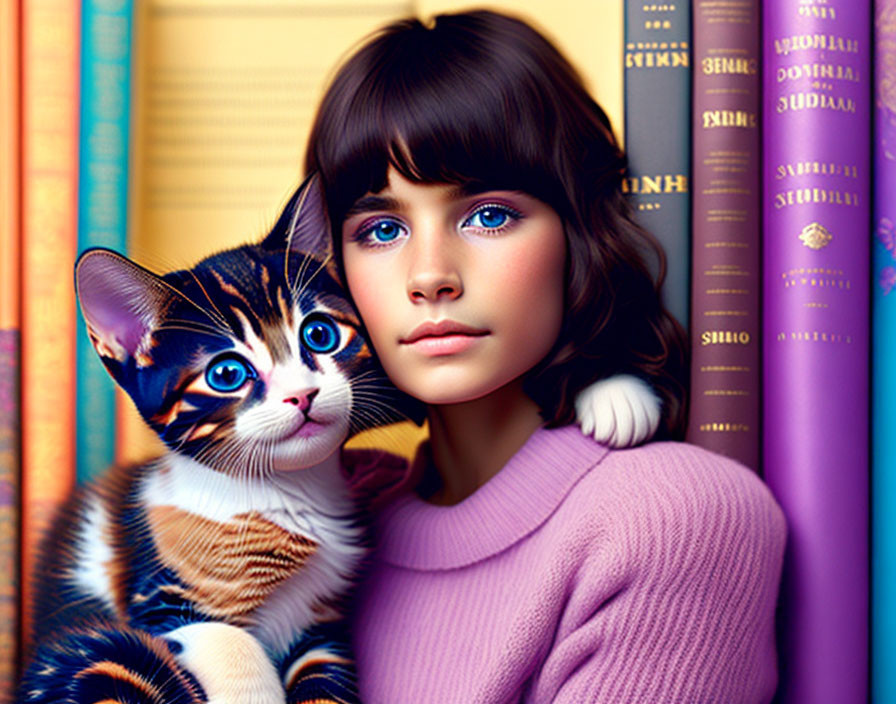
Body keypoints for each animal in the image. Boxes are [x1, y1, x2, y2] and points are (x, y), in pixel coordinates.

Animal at [17, 176, 660, 704]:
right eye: (226, 373)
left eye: (320, 334)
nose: (302, 396)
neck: (285, 493)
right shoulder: (165, 601)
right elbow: (229, 646)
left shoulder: (321, 625)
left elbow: (325, 679)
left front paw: (614, 391)